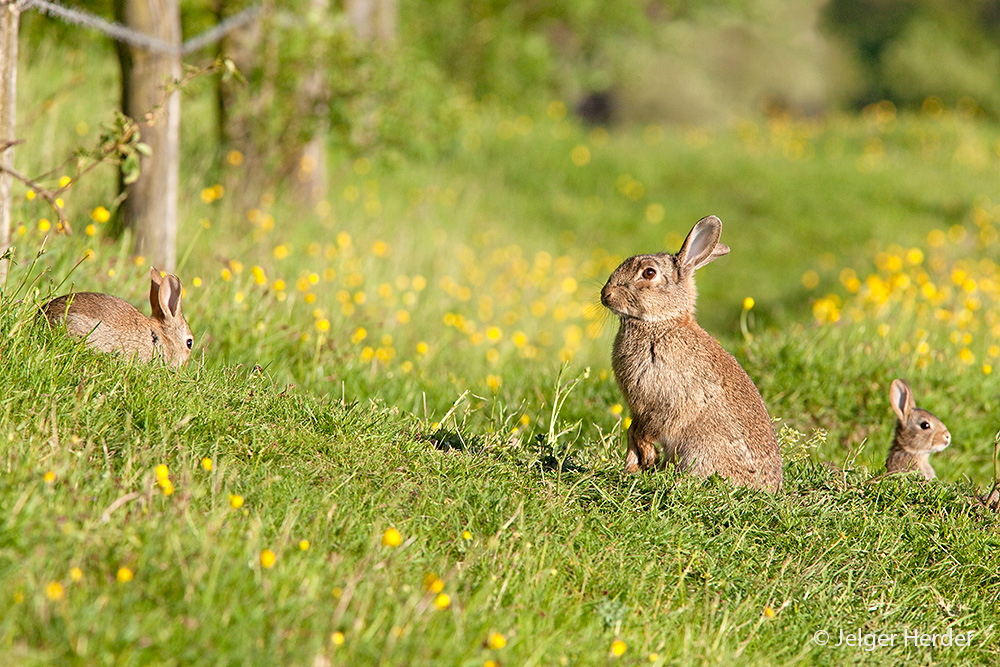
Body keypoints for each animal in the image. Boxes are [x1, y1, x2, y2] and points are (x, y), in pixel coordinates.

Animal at [600, 217, 780, 494]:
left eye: (649, 273)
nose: (605, 295)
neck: (661, 323)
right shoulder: (637, 408)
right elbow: (632, 430)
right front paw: (634, 466)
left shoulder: (666, 400)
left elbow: (647, 430)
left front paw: (646, 460)